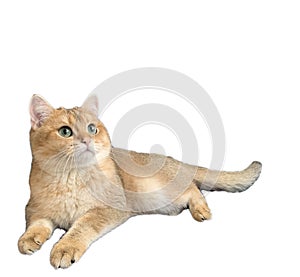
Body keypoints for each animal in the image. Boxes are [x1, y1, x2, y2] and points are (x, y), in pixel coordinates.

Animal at [17, 93, 262, 268]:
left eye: (92, 128)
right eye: (65, 131)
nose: (87, 140)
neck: (70, 177)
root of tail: (174, 161)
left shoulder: (109, 208)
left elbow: (82, 225)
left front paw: (64, 248)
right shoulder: (35, 208)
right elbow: (37, 224)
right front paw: (29, 239)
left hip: (159, 192)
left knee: (193, 187)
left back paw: (200, 209)